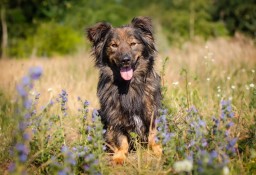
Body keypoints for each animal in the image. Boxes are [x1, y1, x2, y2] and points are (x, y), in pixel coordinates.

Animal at [87, 16, 161, 164]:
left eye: (133, 43)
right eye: (114, 45)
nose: (125, 60)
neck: (128, 85)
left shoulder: (152, 111)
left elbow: (153, 134)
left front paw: (157, 149)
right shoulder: (114, 115)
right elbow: (120, 139)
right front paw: (120, 156)